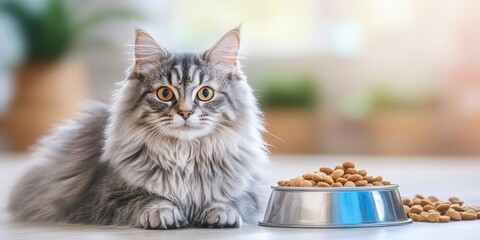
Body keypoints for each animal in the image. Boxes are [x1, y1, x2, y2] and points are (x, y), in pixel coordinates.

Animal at [8, 27, 270, 230]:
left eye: (205, 93)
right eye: (165, 94)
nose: (185, 113)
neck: (184, 155)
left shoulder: (250, 191)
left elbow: (233, 200)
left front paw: (220, 213)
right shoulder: (105, 198)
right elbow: (147, 199)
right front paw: (163, 213)